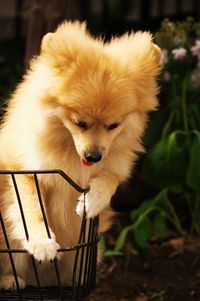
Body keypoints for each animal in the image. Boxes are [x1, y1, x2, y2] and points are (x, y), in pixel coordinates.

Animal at [0, 21, 161, 288]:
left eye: (113, 126)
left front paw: (91, 201)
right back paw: (10, 279)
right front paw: (41, 241)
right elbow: (30, 204)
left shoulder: (114, 169)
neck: (69, 152)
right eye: (80, 123)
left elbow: (109, 179)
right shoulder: (20, 168)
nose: (94, 156)